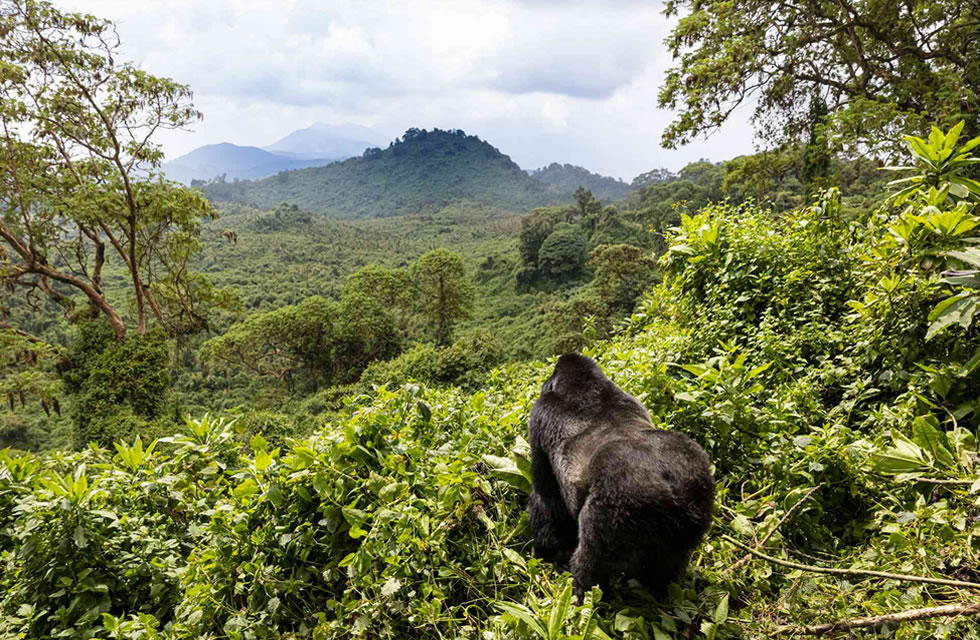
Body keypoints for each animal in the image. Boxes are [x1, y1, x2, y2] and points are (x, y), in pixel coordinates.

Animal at [528, 356, 712, 600]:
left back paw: (585, 595)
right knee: (668, 564)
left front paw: (549, 549)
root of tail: (671, 490)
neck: (584, 385)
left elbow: (545, 495)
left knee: (591, 560)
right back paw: (660, 589)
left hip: (616, 504)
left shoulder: (539, 414)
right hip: (698, 496)